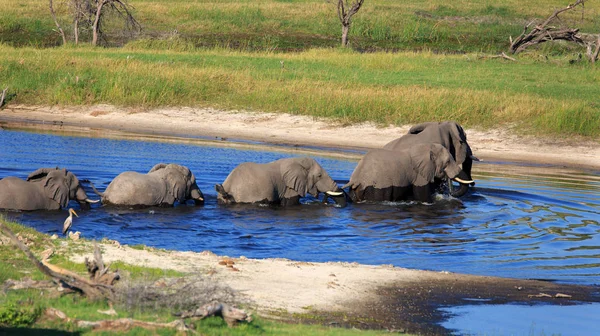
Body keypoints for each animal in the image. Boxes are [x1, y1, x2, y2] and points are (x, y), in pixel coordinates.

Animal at [342, 144, 474, 203]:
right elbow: (422, 196)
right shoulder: (419, 174)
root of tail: (356, 178)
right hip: (376, 187)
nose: (450, 192)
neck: (427, 148)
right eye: (447, 162)